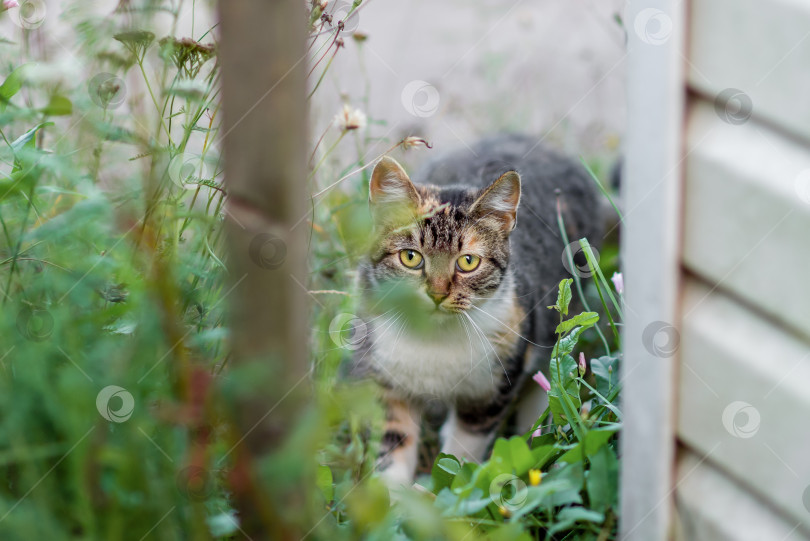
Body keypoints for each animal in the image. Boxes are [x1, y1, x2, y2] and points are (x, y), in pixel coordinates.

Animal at [350, 132, 604, 486]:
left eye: (468, 262)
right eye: (410, 257)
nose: (436, 294)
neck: (433, 340)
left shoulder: (495, 379)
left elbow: (465, 444)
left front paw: (452, 484)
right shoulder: (381, 373)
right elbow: (393, 437)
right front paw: (393, 494)